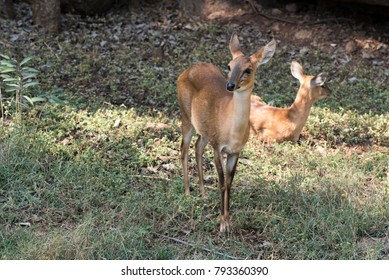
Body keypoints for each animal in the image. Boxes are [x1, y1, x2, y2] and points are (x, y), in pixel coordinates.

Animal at [177, 32, 276, 232]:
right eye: (229, 66)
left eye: (248, 70)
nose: (230, 85)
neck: (232, 133)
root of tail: (186, 71)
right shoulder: (218, 147)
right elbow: (222, 183)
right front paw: (222, 224)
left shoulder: (235, 151)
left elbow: (230, 183)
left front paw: (228, 221)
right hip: (186, 116)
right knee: (184, 149)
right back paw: (187, 193)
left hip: (205, 130)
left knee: (197, 147)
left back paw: (203, 194)